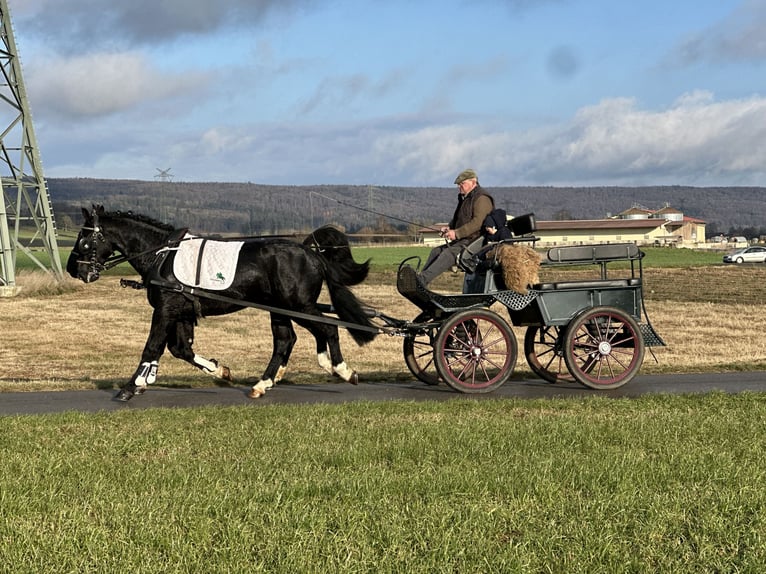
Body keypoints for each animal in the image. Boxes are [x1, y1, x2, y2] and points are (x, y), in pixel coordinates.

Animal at [67, 206, 378, 400]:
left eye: (83, 238)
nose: (74, 270)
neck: (162, 254)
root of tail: (311, 252)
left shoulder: (166, 309)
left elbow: (153, 346)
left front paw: (132, 387)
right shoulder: (181, 312)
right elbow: (181, 349)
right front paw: (221, 371)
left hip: (298, 306)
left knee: (327, 329)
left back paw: (342, 369)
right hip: (281, 309)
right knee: (286, 340)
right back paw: (265, 382)